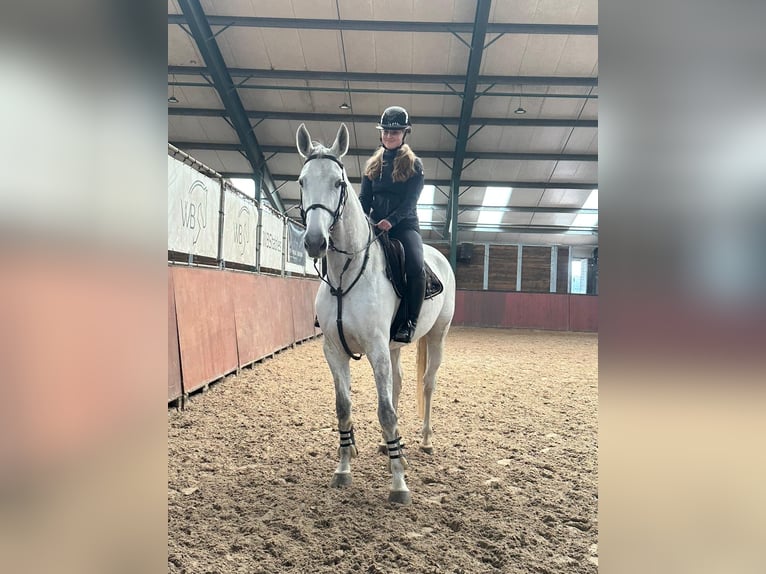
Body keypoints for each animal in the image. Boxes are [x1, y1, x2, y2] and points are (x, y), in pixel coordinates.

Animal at [296, 122, 455, 505]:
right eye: (302, 181)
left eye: (338, 183)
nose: (314, 242)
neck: (347, 274)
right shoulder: (335, 351)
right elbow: (344, 407)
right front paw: (343, 469)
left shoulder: (376, 349)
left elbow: (385, 411)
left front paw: (399, 485)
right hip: (395, 347)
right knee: (398, 382)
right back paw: (390, 445)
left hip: (436, 336)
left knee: (427, 383)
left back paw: (425, 441)